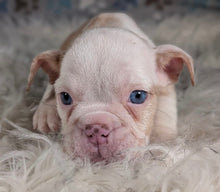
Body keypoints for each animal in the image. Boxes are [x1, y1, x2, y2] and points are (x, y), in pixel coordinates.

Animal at [26, 12, 193, 161]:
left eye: (138, 96)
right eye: (65, 97)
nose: (96, 129)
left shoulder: (166, 88)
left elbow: (166, 112)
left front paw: (162, 142)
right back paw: (45, 113)